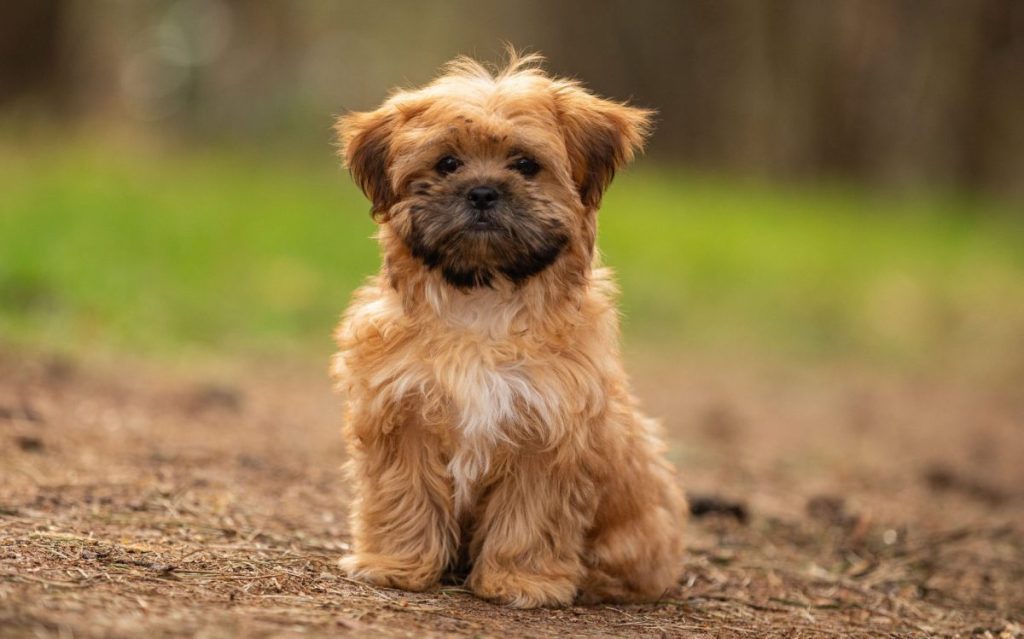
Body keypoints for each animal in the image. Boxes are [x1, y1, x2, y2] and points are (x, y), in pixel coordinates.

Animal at [333, 52, 688, 606]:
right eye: (447, 164)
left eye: (525, 165)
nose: (482, 192)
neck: (484, 298)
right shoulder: (400, 415)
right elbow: (404, 495)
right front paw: (396, 564)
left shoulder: (548, 433)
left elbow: (530, 518)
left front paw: (521, 581)